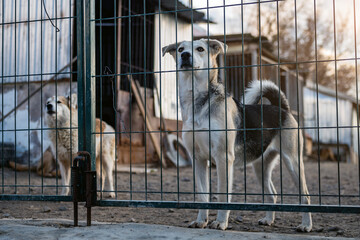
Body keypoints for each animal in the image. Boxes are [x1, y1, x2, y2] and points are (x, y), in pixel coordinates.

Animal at [163, 38, 312, 232]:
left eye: (200, 49)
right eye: (180, 49)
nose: (185, 55)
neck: (198, 101)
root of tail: (282, 108)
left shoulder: (223, 158)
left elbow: (222, 195)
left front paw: (220, 222)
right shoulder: (198, 159)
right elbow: (203, 196)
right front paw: (201, 221)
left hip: (293, 161)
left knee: (305, 195)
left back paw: (306, 225)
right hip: (260, 166)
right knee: (272, 194)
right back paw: (268, 219)